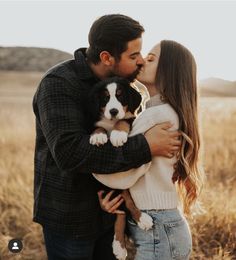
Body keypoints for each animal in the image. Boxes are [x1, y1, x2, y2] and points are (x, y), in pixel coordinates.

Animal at [87, 77, 152, 260]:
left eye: (120, 95)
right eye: (105, 97)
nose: (114, 111)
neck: (111, 122)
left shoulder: (131, 118)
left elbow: (123, 121)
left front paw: (117, 135)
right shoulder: (94, 121)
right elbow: (98, 126)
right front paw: (98, 136)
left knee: (127, 203)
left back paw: (142, 220)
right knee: (121, 212)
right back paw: (119, 246)